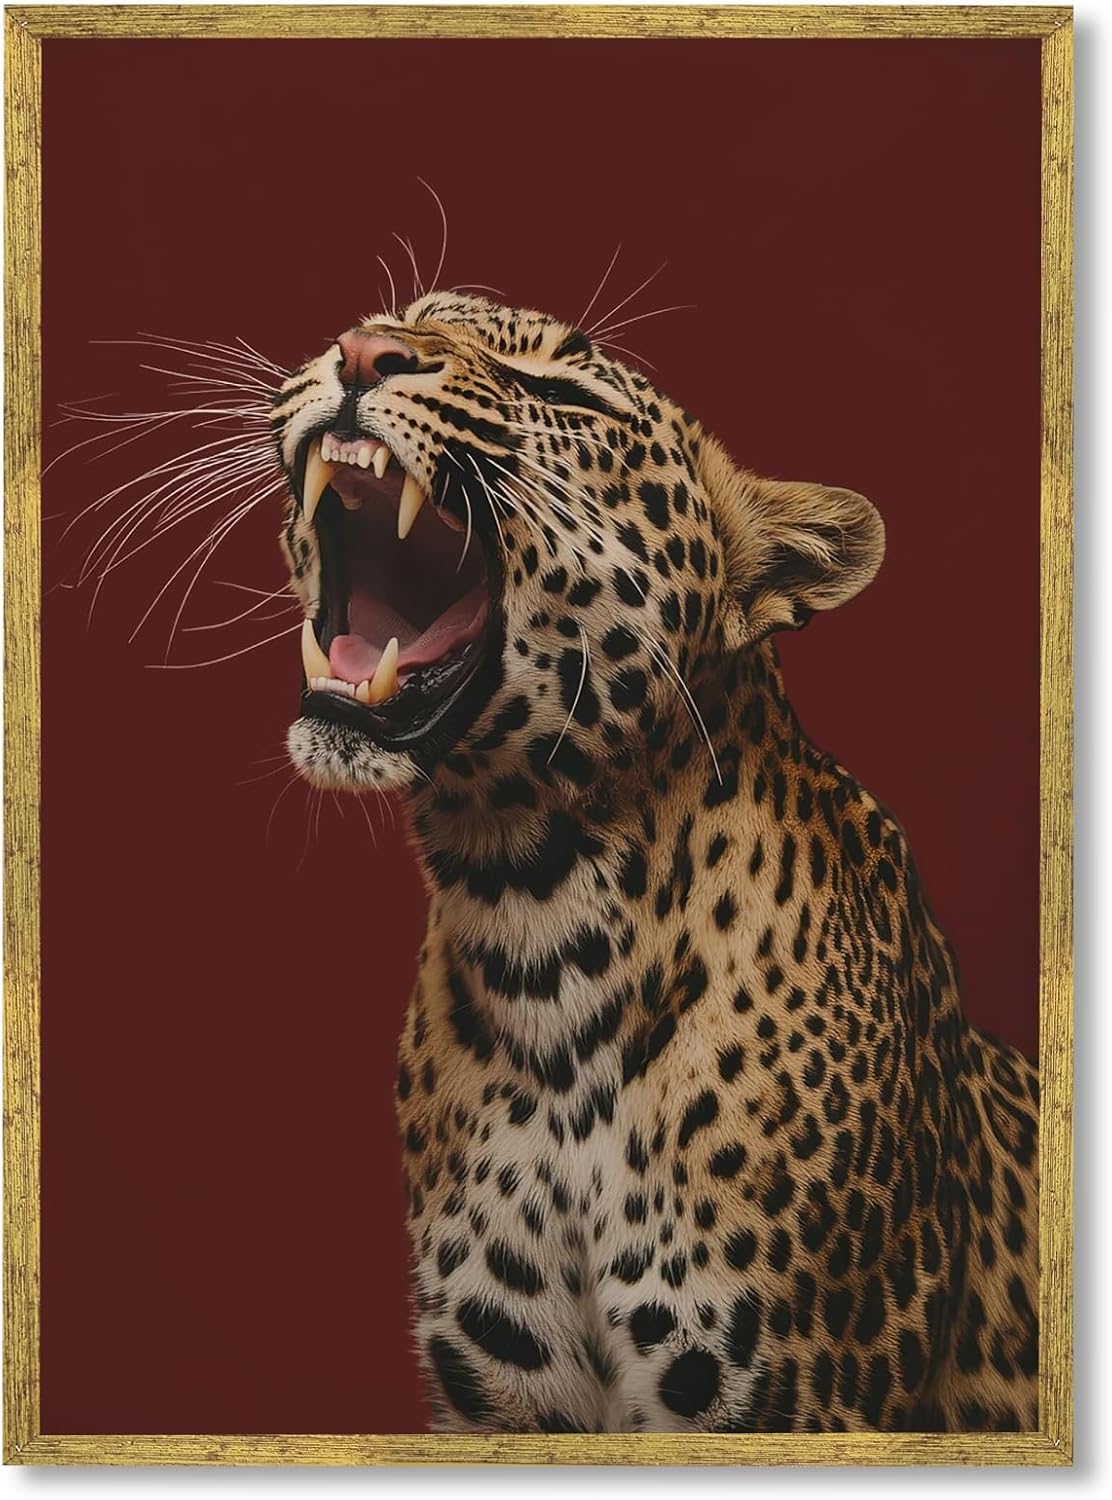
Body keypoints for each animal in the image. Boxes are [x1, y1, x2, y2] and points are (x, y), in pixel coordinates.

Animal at [269, 291, 1039, 1433]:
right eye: (392, 319)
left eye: (562, 394)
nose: (362, 353)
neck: (534, 922)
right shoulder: (505, 1397)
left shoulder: (795, 1404)